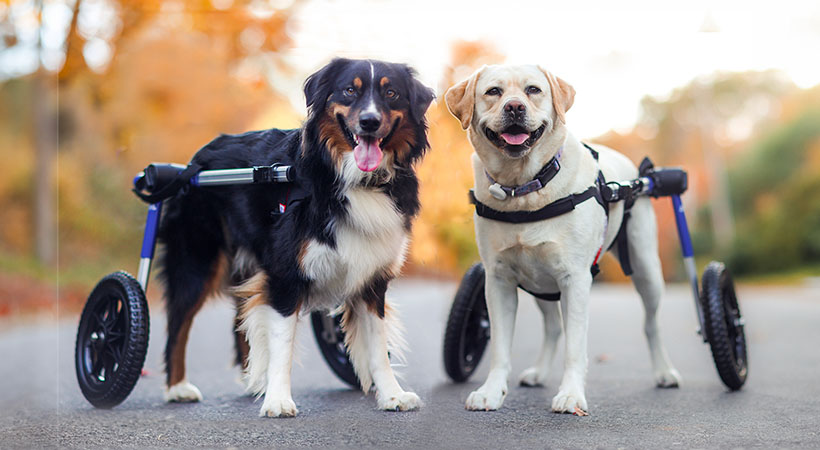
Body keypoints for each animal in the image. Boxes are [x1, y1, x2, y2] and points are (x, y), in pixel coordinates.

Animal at [155, 58, 436, 416]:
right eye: (349, 90)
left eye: (391, 93)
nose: (370, 122)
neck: (350, 179)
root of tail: (192, 164)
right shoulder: (286, 275)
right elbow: (282, 343)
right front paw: (278, 400)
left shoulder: (372, 278)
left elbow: (377, 344)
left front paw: (392, 395)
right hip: (196, 260)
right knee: (178, 324)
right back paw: (177, 387)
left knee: (239, 320)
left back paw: (252, 383)